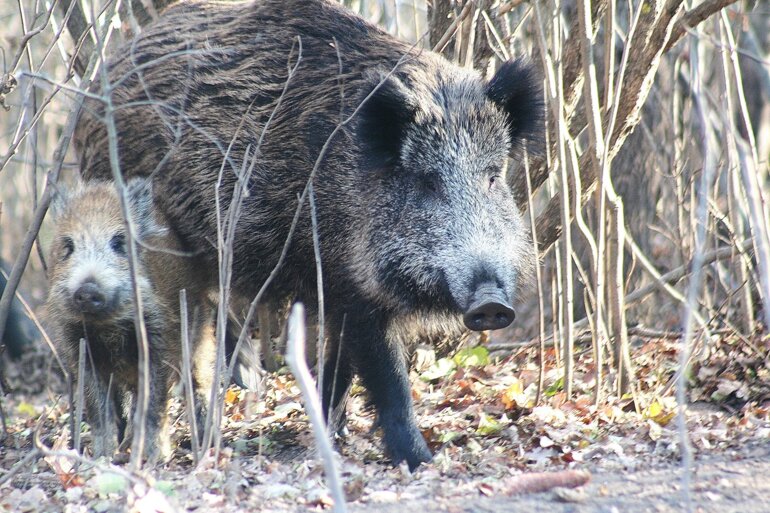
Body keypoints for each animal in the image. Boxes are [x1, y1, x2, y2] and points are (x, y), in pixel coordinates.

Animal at [46, 179, 216, 462]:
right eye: (68, 247)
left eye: (119, 243)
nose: (87, 290)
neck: (108, 328)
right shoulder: (80, 351)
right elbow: (98, 411)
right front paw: (101, 458)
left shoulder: (159, 343)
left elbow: (154, 404)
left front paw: (158, 458)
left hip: (199, 331)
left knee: (200, 383)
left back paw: (204, 442)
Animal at [74, 0, 543, 469]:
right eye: (428, 181)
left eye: (493, 177)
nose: (491, 303)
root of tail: (95, 89)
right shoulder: (352, 289)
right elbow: (387, 378)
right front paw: (418, 460)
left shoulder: (337, 290)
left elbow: (339, 370)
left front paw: (329, 432)